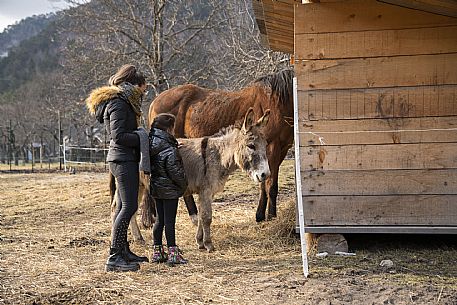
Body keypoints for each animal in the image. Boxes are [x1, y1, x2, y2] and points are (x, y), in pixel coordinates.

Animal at [148, 69, 294, 221]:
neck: (277, 102)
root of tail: (155, 102)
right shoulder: (272, 148)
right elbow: (270, 185)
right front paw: (271, 216)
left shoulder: (279, 150)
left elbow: (264, 183)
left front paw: (260, 215)